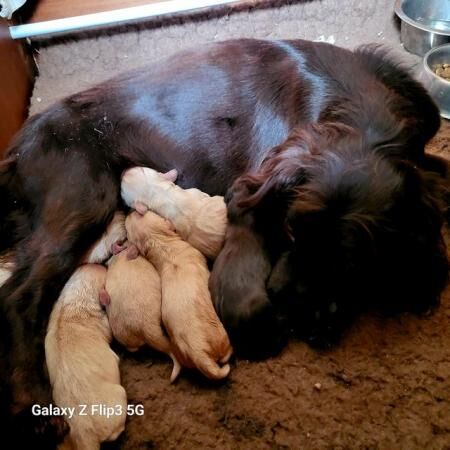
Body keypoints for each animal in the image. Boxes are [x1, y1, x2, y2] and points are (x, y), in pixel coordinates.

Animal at [125, 211, 232, 380]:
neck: (163, 246)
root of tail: (199, 355)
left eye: (128, 231)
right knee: (226, 354)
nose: (130, 211)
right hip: (221, 336)